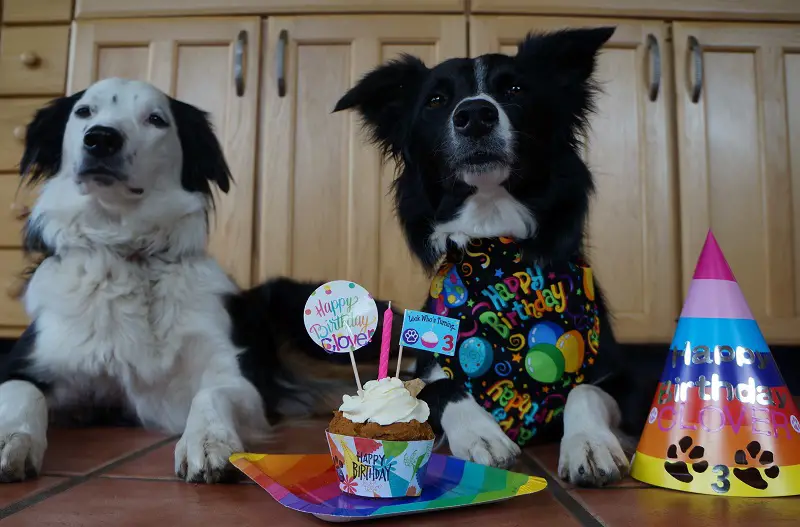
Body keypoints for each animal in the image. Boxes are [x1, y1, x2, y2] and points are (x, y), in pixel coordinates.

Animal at [332, 25, 656, 486]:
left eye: (516, 89)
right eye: (436, 99)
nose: (474, 115)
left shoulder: (626, 380)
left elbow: (584, 388)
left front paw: (589, 444)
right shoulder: (428, 367)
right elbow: (440, 387)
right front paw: (481, 435)